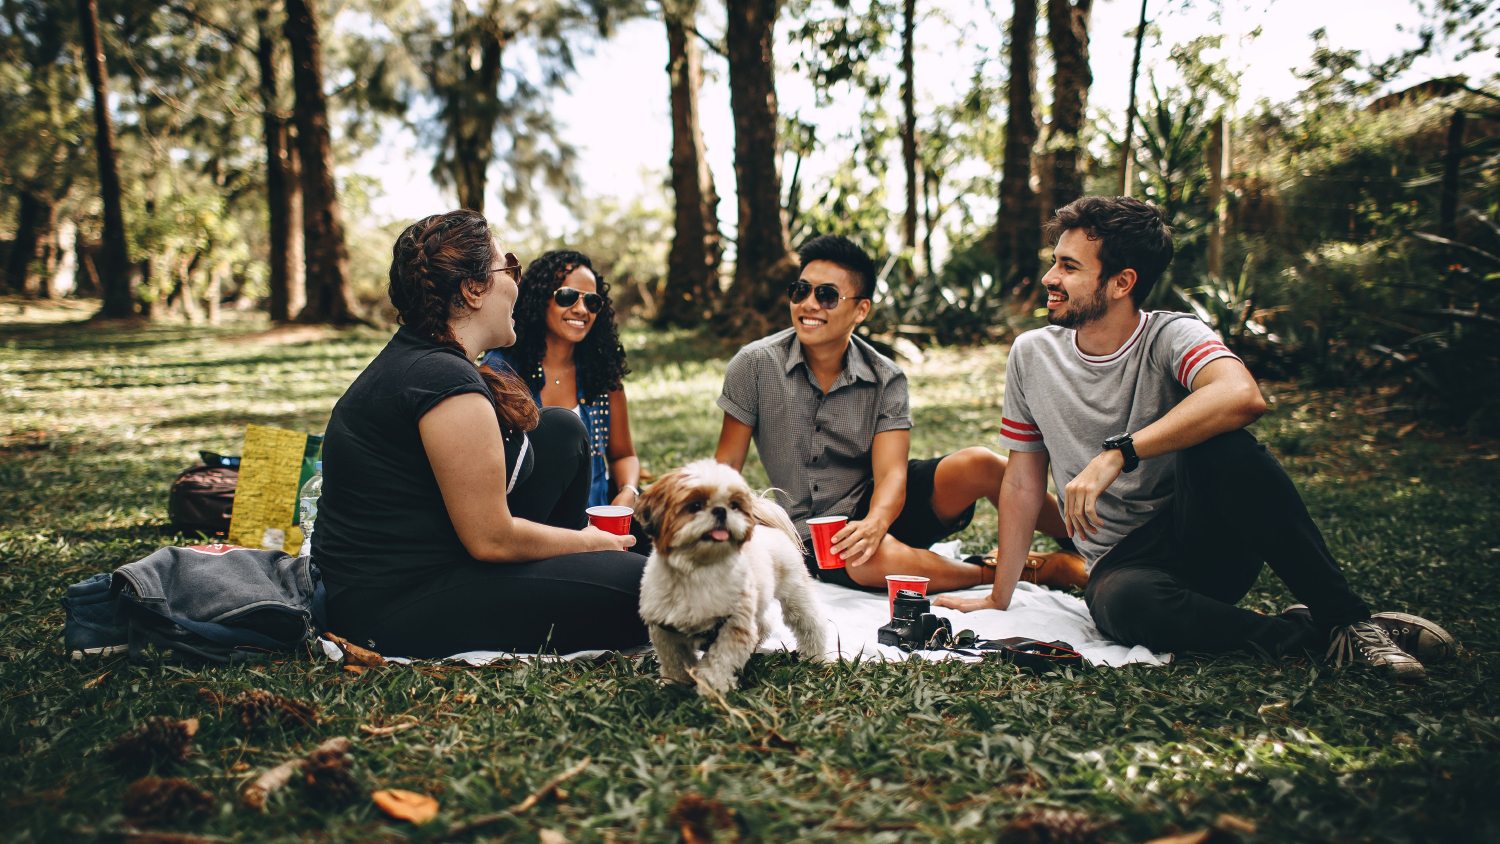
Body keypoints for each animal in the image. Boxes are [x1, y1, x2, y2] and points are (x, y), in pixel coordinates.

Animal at [636, 461, 834, 692]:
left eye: (733, 505)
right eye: (695, 505)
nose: (721, 511)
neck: (699, 570)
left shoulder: (733, 627)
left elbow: (719, 662)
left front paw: (712, 688)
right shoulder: (665, 630)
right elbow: (674, 661)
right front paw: (673, 684)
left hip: (795, 594)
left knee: (811, 624)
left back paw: (815, 657)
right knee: (764, 623)